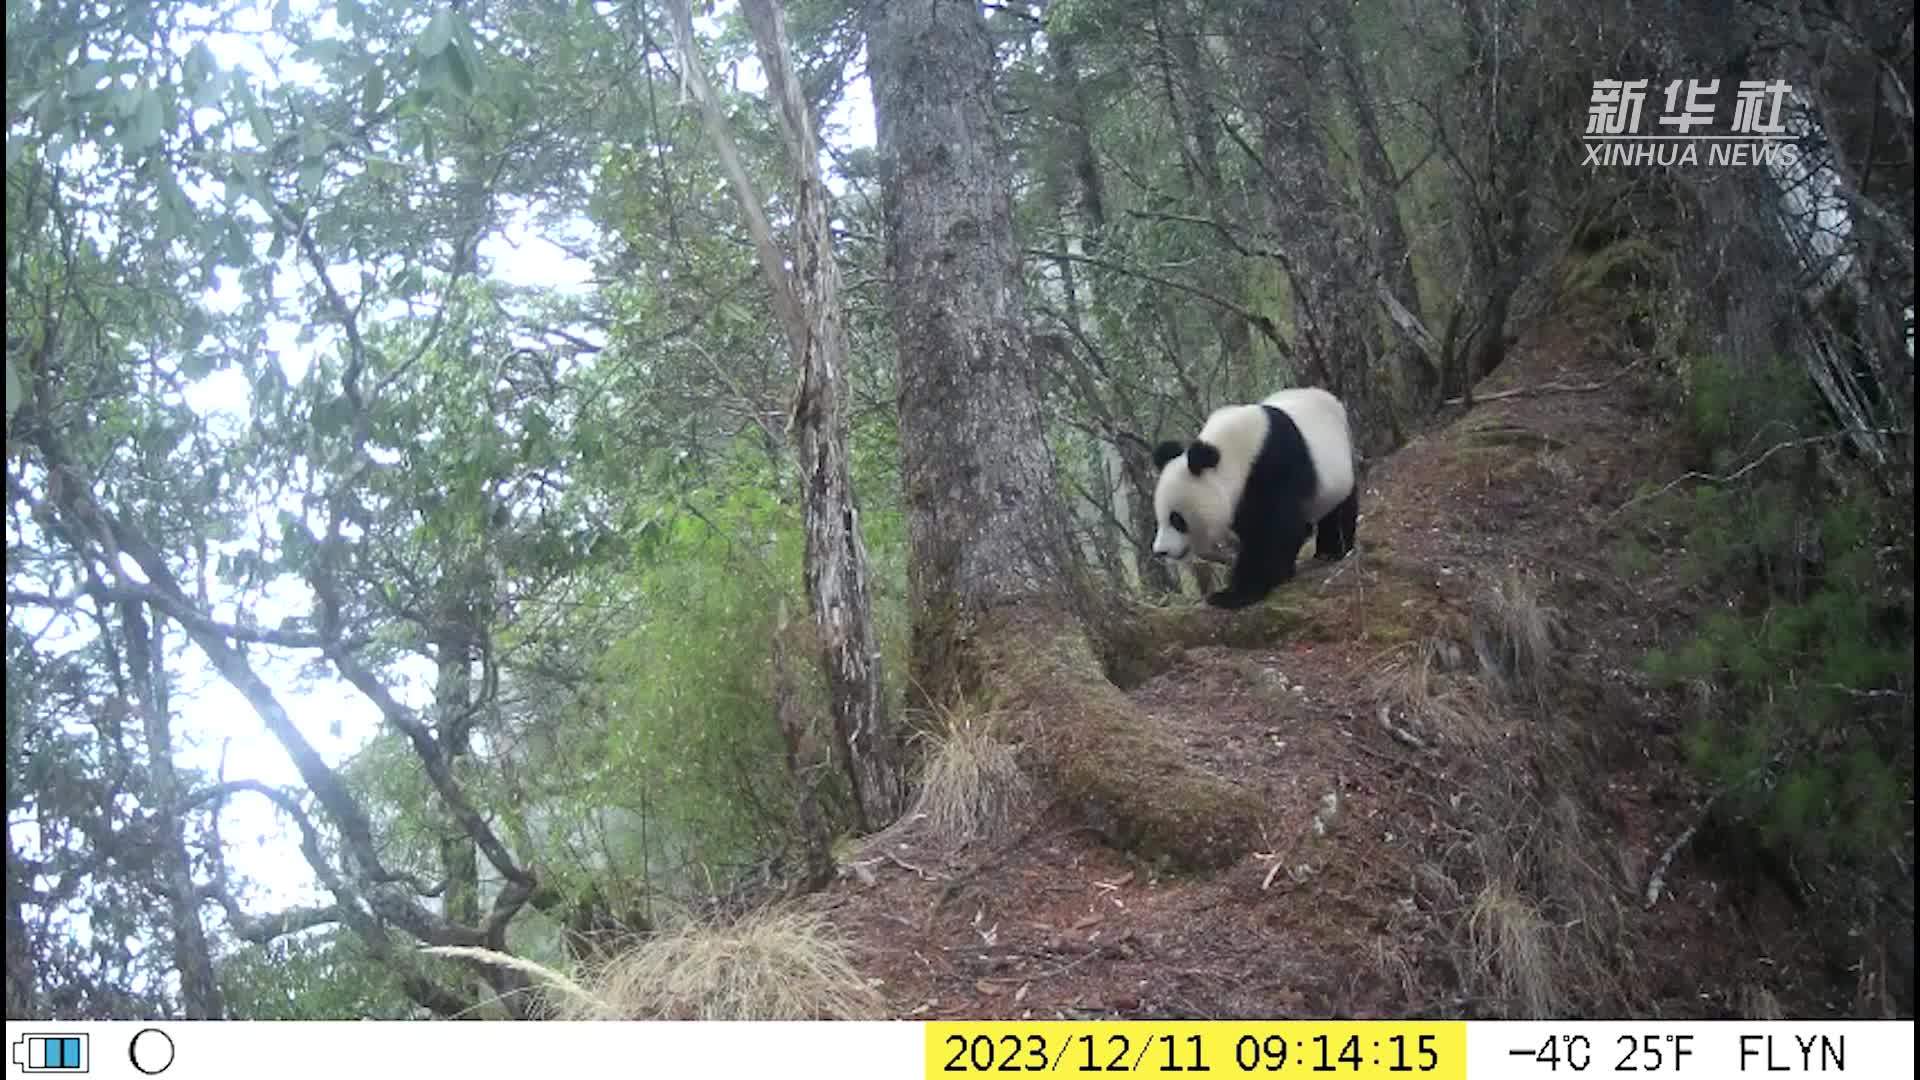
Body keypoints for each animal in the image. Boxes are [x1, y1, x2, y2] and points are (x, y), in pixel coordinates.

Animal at [1144, 384, 1359, 607]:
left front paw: (1235, 594)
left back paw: (1333, 551)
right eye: (1159, 518)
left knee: (1339, 509)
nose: (1161, 551)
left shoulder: (1274, 466)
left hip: (1338, 466)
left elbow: (1274, 530)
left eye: (1177, 519)